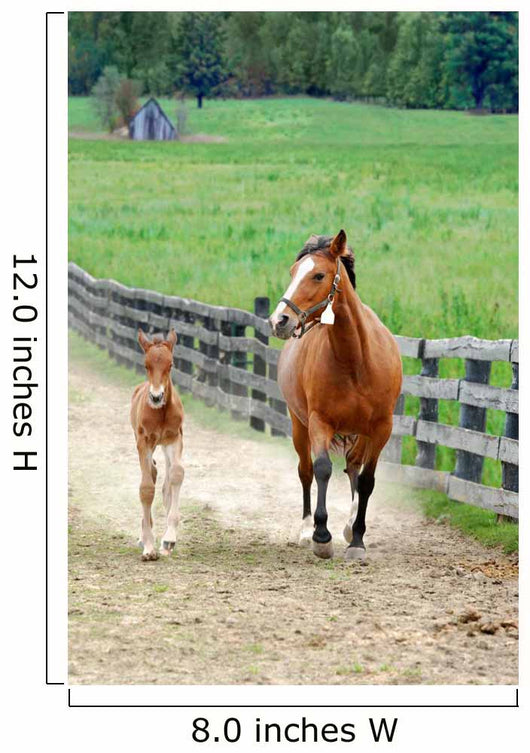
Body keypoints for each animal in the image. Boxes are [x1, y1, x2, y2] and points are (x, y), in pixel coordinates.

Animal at [269, 230, 402, 561]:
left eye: (318, 275)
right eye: (293, 272)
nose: (279, 320)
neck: (356, 361)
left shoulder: (381, 428)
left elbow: (366, 480)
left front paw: (357, 539)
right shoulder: (320, 423)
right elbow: (322, 470)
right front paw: (321, 536)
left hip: (361, 433)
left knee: (354, 467)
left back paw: (351, 526)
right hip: (299, 426)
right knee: (305, 472)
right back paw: (306, 530)